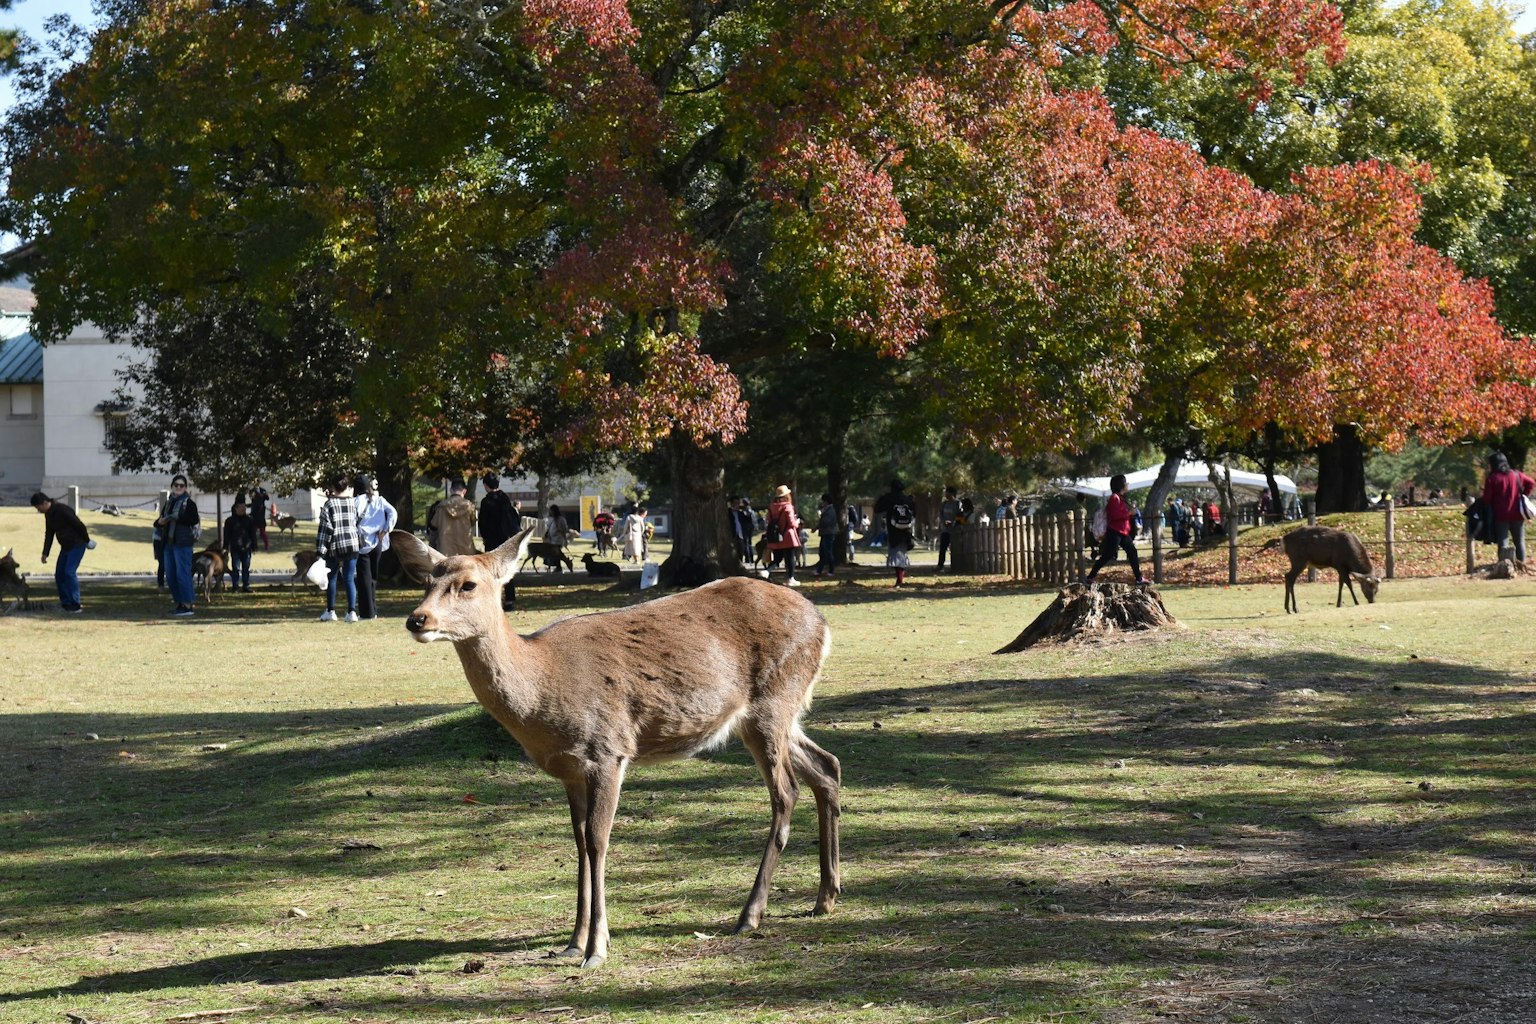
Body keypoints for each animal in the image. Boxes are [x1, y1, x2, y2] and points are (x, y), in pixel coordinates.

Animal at [390, 526, 841, 968]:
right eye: (427, 580)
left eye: (468, 584)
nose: (417, 619)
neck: (542, 690)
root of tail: (823, 624)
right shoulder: (570, 770)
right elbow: (578, 843)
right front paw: (573, 943)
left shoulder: (607, 750)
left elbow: (598, 840)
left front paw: (596, 949)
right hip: (774, 716)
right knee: (827, 765)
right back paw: (826, 896)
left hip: (773, 702)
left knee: (786, 792)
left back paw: (750, 915)